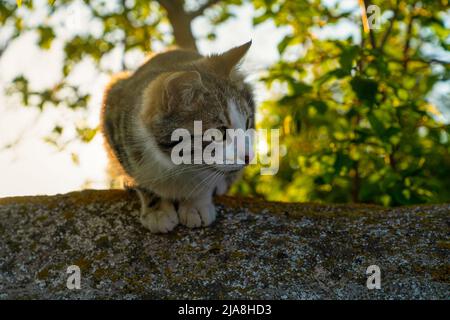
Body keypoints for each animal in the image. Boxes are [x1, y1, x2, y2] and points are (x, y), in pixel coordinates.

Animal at [103, 41, 256, 234]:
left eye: (248, 123)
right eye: (220, 132)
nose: (249, 157)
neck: (176, 165)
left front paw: (196, 203)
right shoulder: (114, 124)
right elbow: (141, 180)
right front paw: (157, 210)